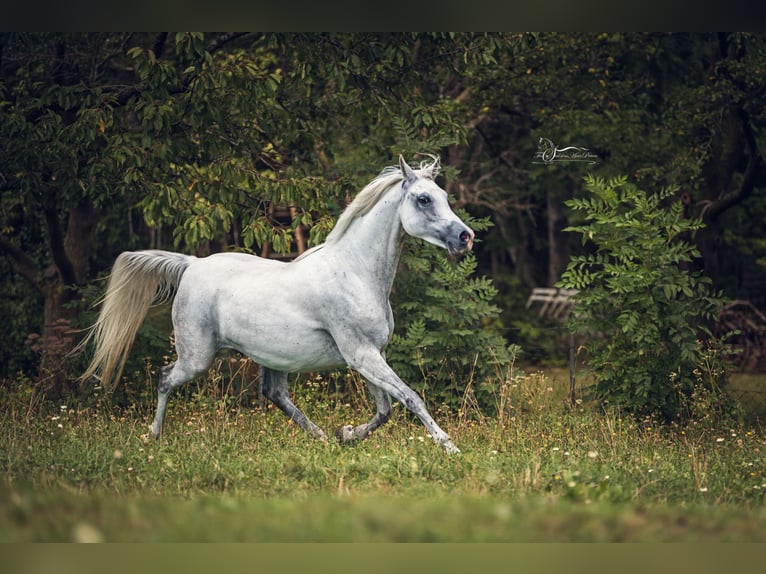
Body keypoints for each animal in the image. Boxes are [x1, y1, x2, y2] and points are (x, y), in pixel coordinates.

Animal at [79, 156, 474, 454]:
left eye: (443, 195)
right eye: (423, 199)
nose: (465, 237)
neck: (355, 272)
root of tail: (191, 263)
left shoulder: (370, 354)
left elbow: (385, 409)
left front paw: (346, 434)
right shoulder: (362, 354)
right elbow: (411, 398)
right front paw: (449, 447)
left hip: (274, 357)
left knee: (275, 395)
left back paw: (320, 437)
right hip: (197, 356)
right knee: (164, 379)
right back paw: (154, 436)